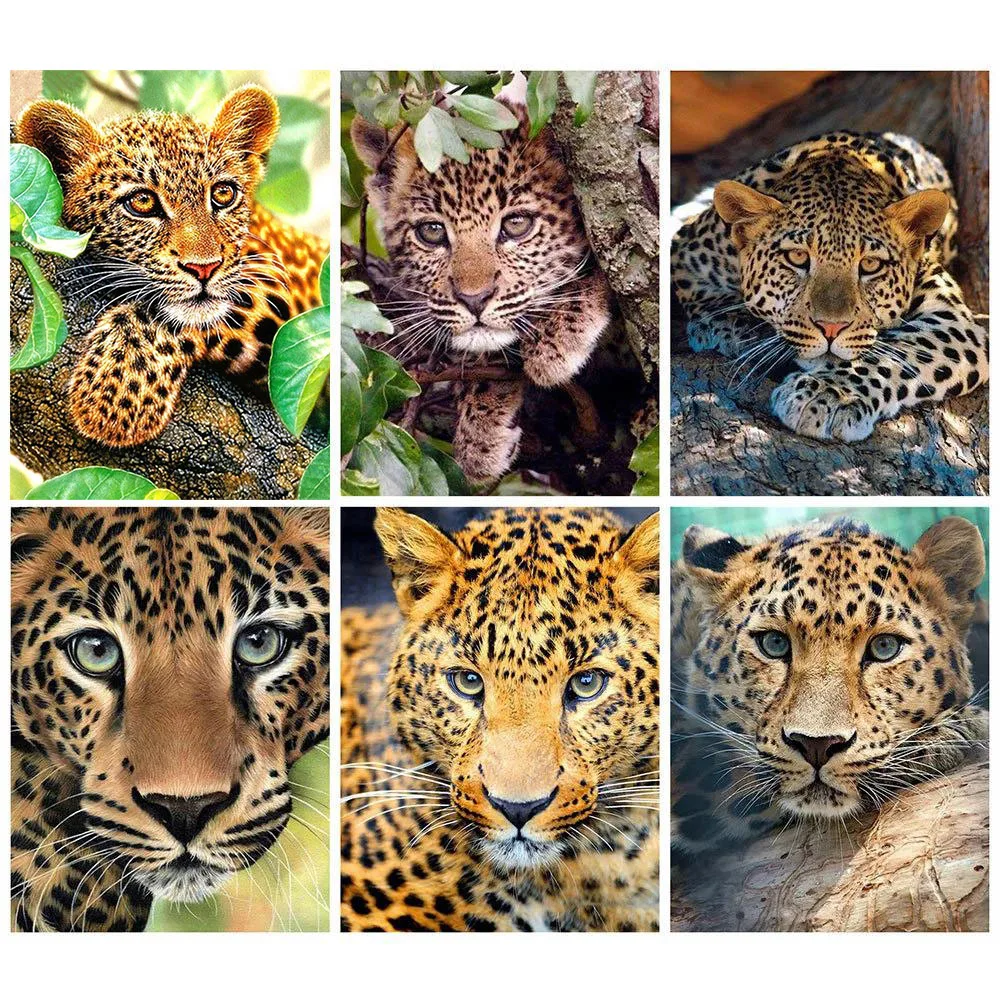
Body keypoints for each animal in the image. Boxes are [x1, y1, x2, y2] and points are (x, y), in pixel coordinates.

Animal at [671, 131, 988, 441]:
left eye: (870, 264)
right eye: (797, 257)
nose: (831, 328)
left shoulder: (954, 321)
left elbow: (894, 354)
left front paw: (828, 396)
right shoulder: (687, 253)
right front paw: (734, 327)